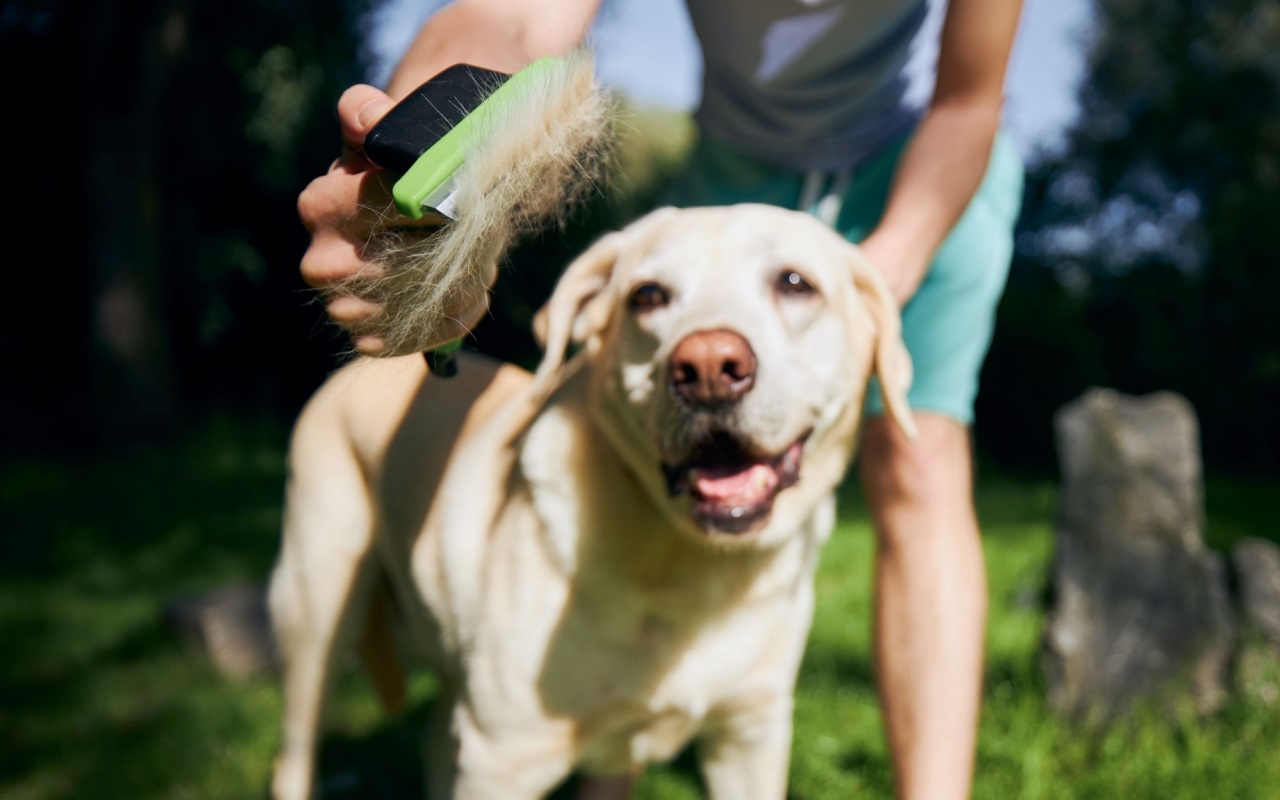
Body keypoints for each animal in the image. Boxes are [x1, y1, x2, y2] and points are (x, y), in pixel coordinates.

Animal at [270, 204, 916, 798]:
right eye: (647, 296)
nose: (708, 367)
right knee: (294, 752)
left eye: (795, 283)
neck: (688, 566)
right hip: (319, 611)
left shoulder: (750, 737)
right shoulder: (502, 757)